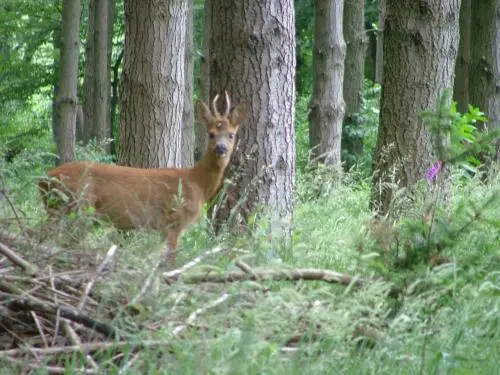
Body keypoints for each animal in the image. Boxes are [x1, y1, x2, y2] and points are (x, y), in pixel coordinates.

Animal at [38, 92, 247, 266]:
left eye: (231, 134)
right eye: (211, 134)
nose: (221, 148)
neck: (196, 182)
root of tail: (45, 178)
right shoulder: (174, 220)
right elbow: (171, 259)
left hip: (58, 208)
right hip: (77, 206)